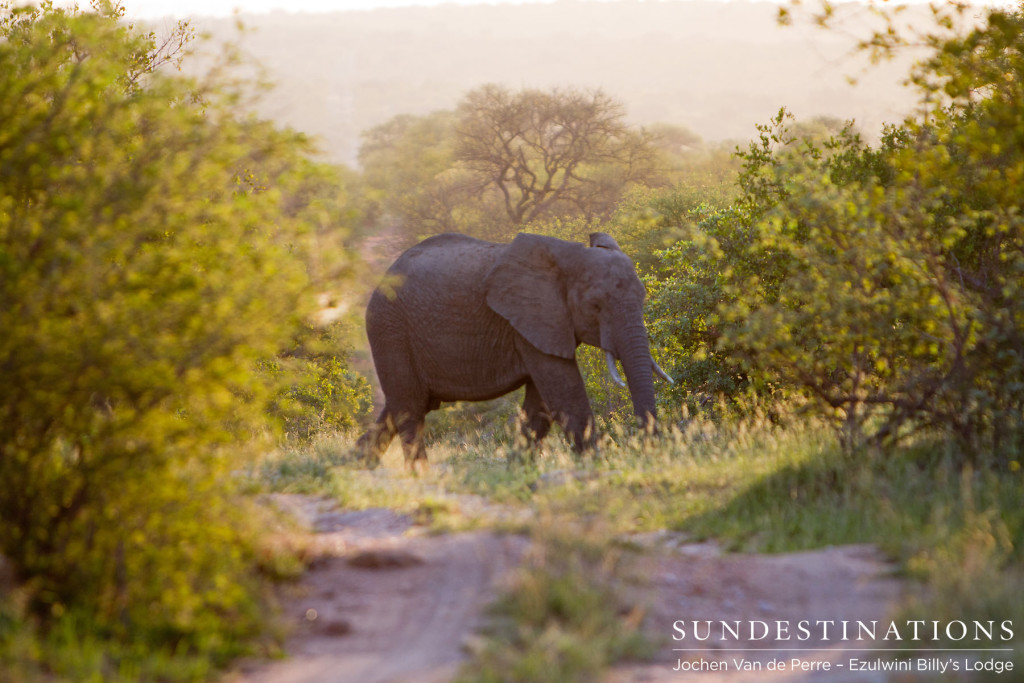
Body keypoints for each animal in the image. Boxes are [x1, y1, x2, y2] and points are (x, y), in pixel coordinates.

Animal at [358, 232, 671, 466]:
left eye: (643, 297)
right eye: (596, 306)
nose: (650, 452)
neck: (569, 257)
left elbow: (541, 406)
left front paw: (517, 467)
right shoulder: (530, 319)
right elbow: (565, 396)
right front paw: (596, 466)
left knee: (404, 405)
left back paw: (357, 466)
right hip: (390, 329)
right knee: (409, 408)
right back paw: (420, 475)